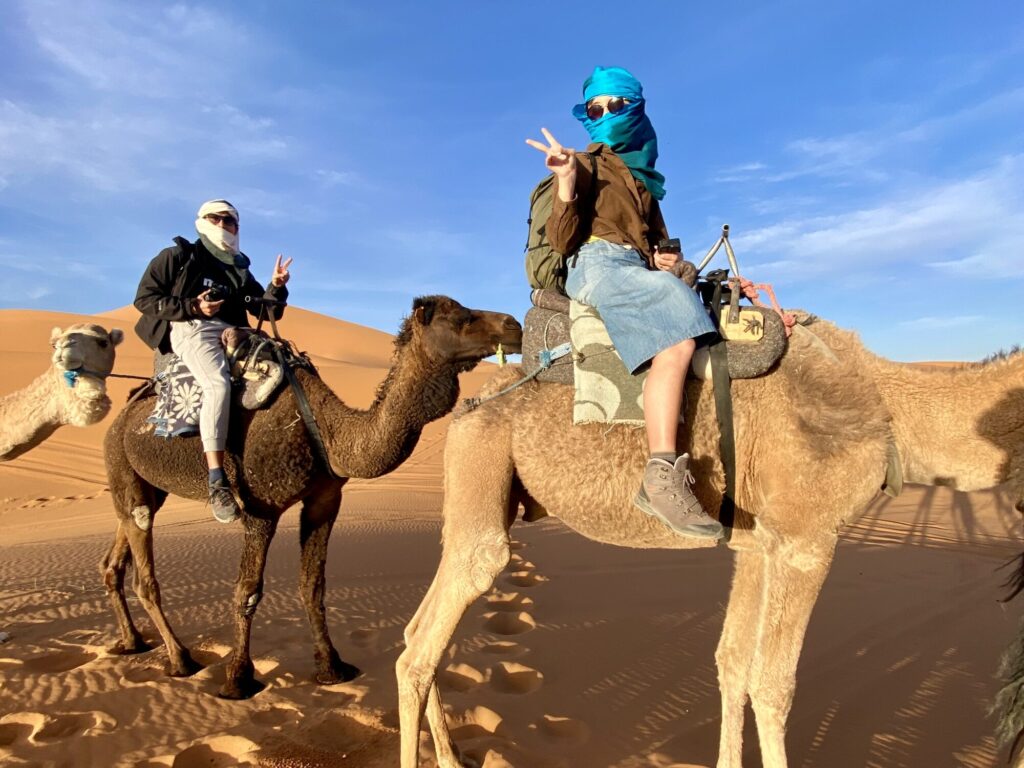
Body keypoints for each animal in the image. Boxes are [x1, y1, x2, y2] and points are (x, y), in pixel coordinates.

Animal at [100, 296, 524, 704]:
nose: (514, 325)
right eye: (460, 317)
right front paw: (237, 680)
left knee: (116, 554)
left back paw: (131, 642)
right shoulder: (260, 509)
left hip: (145, 487)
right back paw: (180, 659)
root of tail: (123, 414)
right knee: (144, 571)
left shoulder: (324, 500)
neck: (327, 431)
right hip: (121, 463)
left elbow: (313, 585)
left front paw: (331, 667)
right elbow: (247, 592)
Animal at [393, 313, 1024, 768]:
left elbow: (732, 664)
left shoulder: (757, 546)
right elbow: (774, 684)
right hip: (481, 467)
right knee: (426, 639)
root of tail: (469, 405)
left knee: (418, 629)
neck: (888, 406)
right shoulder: (806, 540)